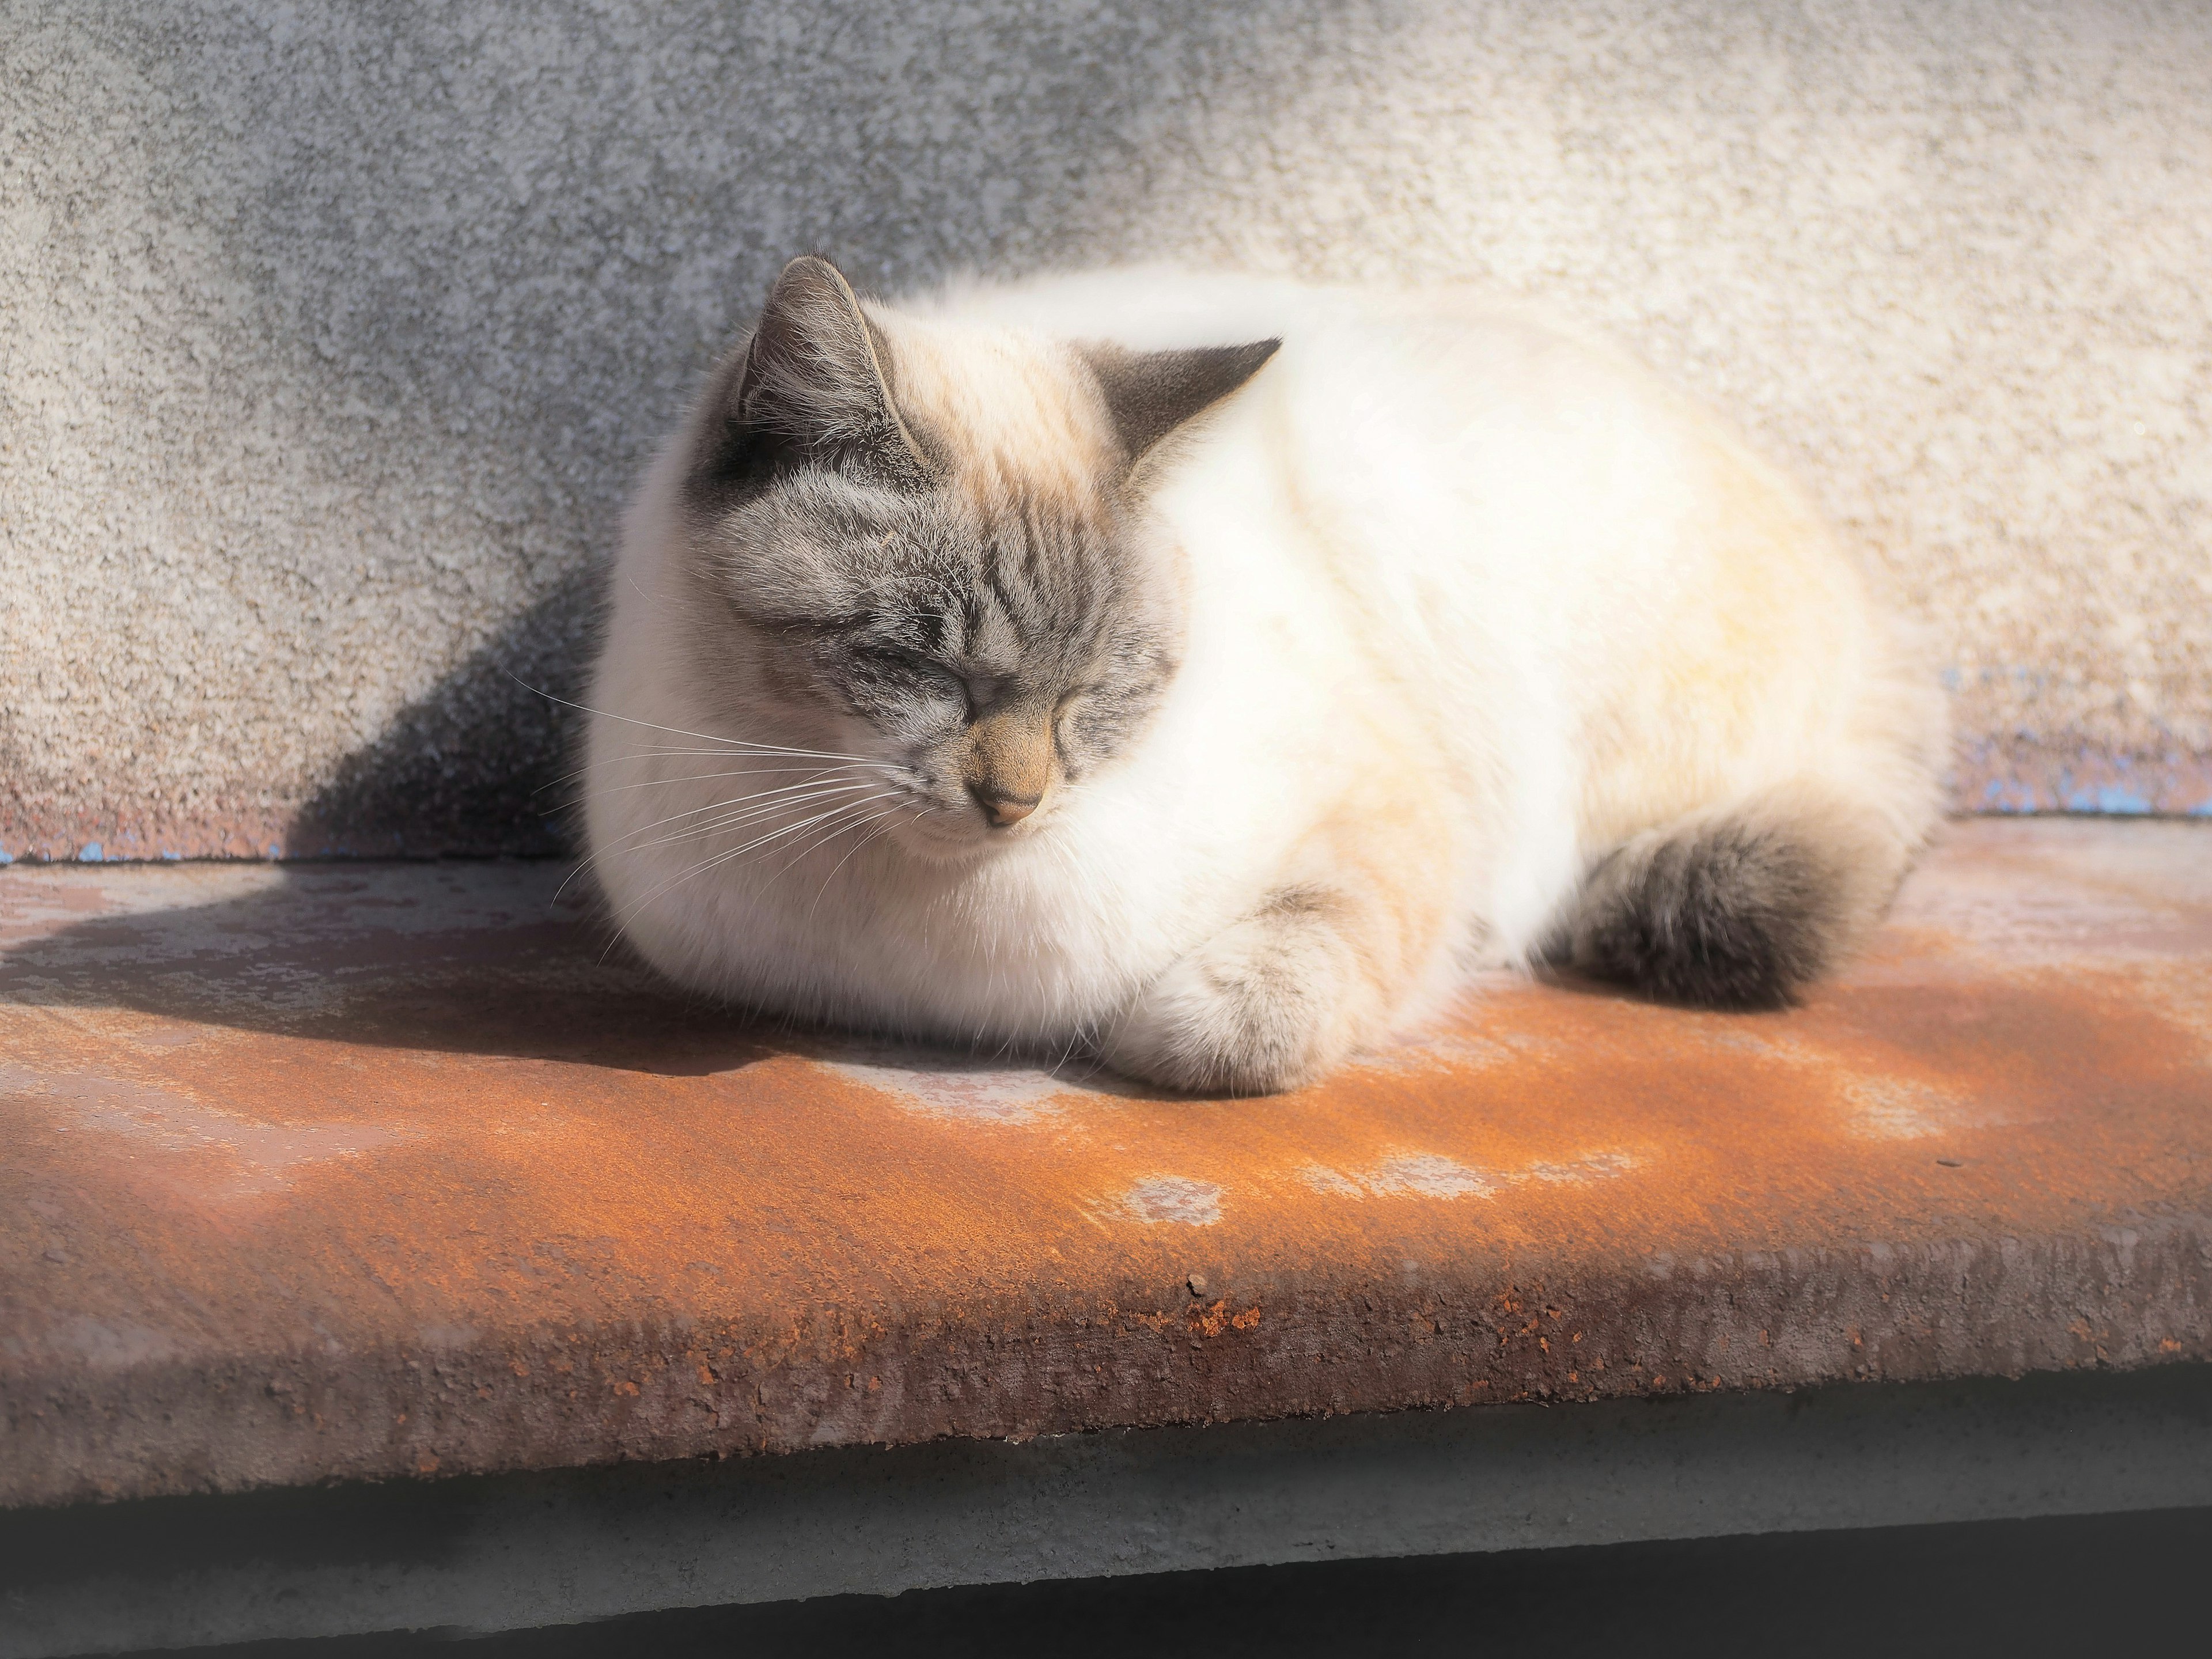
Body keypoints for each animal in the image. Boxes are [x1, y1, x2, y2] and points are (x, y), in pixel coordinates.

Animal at [579, 256, 1946, 1092]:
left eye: (1097, 691)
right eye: (925, 665)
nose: (1015, 803)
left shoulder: (1399, 830)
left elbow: (1237, 1015)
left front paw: (1138, 1030)